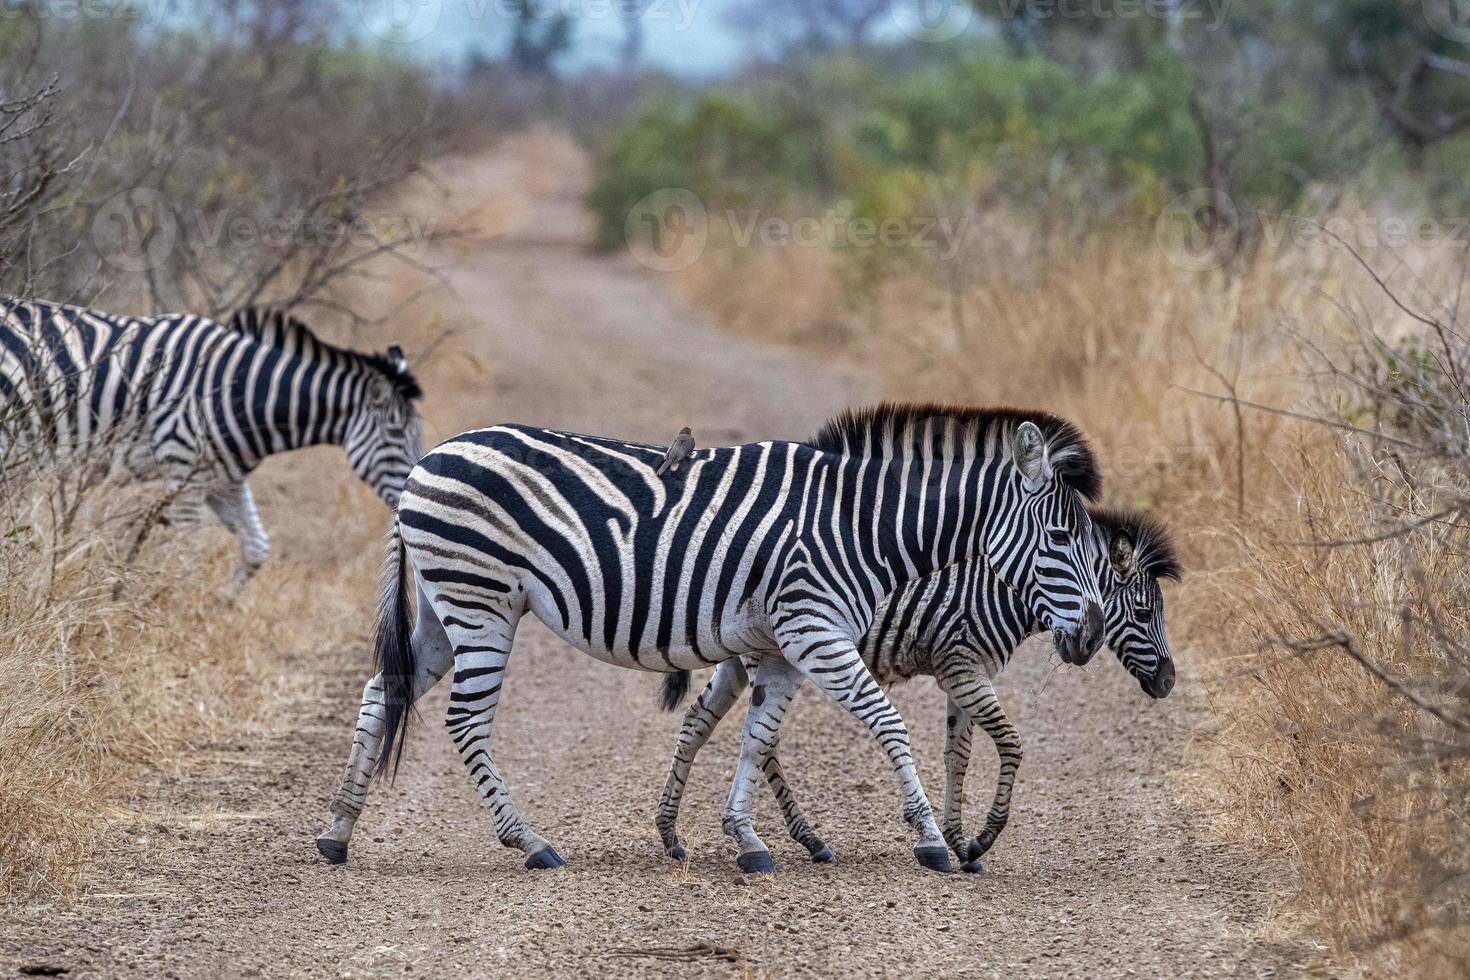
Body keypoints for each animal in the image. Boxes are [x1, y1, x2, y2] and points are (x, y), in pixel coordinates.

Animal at [1, 295, 426, 578]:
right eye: (395, 434)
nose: (412, 498)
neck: (239, 393)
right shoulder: (183, 472)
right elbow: (186, 555)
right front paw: (171, 611)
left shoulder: (225, 479)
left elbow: (256, 548)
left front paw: (224, 603)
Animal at [316, 402, 1105, 875]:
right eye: (1059, 541)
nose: (1094, 634)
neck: (857, 525)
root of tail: (427, 462)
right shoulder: (815, 631)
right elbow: (888, 724)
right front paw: (933, 840)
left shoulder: (780, 650)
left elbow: (756, 739)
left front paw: (747, 839)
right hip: (480, 601)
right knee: (465, 721)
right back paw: (530, 841)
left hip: (446, 605)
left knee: (383, 689)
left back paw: (338, 830)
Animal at [655, 505, 1181, 875]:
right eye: (1140, 613)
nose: (1169, 681)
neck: (1012, 589)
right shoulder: (962, 668)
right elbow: (1011, 743)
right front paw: (980, 838)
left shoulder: (964, 671)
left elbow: (957, 755)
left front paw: (956, 840)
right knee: (764, 742)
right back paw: (798, 839)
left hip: (746, 654)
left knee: (702, 721)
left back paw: (675, 833)